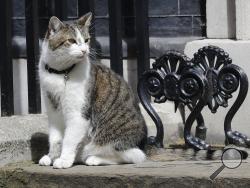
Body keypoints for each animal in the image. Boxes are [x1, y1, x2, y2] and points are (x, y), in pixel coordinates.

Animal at [38, 13, 147, 169]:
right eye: (71, 41)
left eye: (86, 40)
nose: (84, 50)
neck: (60, 72)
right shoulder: (53, 111)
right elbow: (55, 139)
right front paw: (51, 157)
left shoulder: (78, 115)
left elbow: (69, 140)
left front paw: (64, 160)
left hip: (113, 138)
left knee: (133, 156)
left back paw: (93, 158)